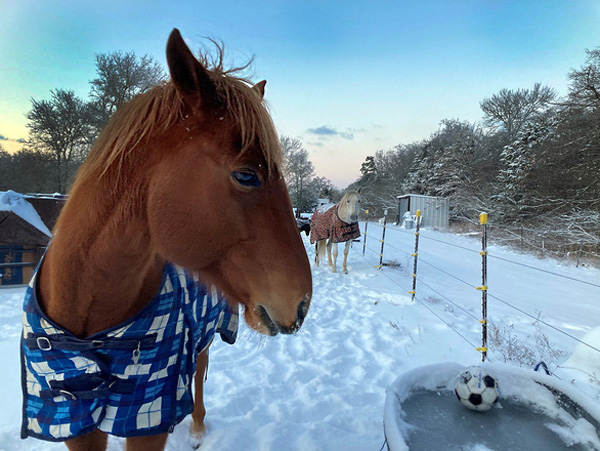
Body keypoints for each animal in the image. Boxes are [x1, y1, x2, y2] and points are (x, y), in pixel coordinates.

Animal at [22, 30, 312, 450]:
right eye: (246, 175)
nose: (301, 303)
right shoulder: (73, 418)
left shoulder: (147, 415)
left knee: (199, 372)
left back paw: (198, 427)